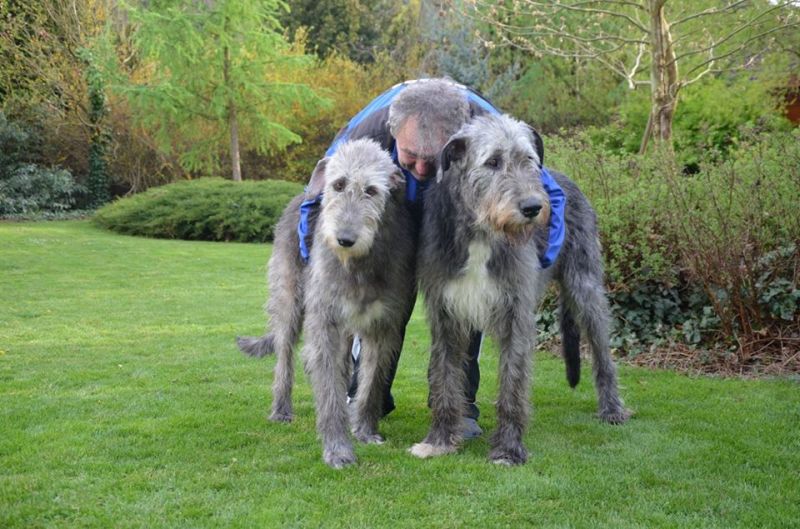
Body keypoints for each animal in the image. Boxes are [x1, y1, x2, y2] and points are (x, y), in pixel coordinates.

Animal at [238, 139, 416, 466]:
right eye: (338, 184)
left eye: (372, 190)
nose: (344, 239)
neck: (358, 265)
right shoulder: (325, 321)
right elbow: (329, 387)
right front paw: (338, 449)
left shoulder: (384, 324)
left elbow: (371, 381)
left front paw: (365, 431)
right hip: (290, 301)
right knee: (285, 358)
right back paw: (281, 409)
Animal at [412, 113, 632, 464]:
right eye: (492, 162)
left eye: (528, 160)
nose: (532, 207)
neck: (481, 233)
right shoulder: (445, 312)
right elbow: (445, 377)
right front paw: (440, 440)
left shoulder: (516, 311)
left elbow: (513, 383)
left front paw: (508, 449)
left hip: (585, 286)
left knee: (602, 354)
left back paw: (612, 409)